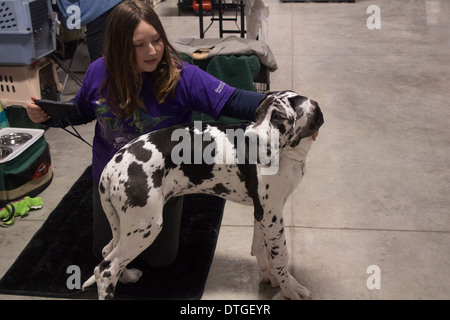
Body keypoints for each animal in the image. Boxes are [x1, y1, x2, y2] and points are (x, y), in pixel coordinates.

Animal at [81, 90, 324, 300]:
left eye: (279, 116)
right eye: (257, 115)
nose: (247, 140)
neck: (290, 155)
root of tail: (109, 168)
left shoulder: (263, 212)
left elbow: (260, 247)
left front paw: (268, 275)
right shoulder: (272, 214)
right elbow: (281, 254)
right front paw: (290, 288)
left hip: (126, 225)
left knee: (108, 250)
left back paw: (129, 275)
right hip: (146, 226)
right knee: (106, 269)